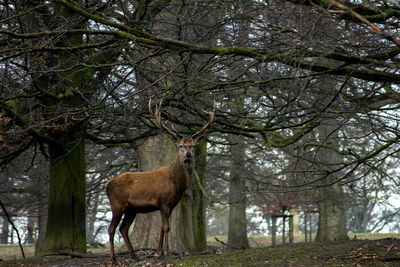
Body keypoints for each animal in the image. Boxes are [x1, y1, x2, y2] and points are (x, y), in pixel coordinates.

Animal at [104, 97, 216, 262]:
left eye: (193, 145)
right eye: (181, 145)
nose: (188, 154)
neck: (176, 183)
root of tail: (107, 183)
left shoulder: (172, 204)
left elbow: (163, 228)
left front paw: (159, 252)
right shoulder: (163, 201)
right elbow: (166, 227)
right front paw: (167, 252)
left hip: (131, 209)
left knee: (123, 228)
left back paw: (134, 256)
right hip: (117, 204)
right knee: (111, 228)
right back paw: (113, 258)